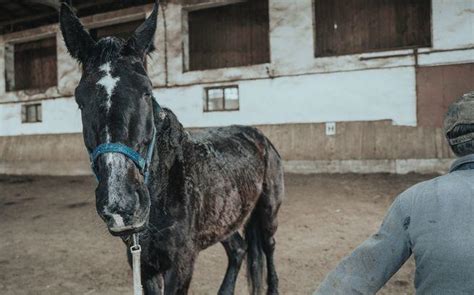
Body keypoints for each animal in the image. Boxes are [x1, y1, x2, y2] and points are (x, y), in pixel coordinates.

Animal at [58, 1, 282, 294]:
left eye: (146, 90)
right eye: (79, 99)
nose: (121, 203)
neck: (166, 184)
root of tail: (259, 137)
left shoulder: (181, 263)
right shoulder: (143, 263)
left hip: (268, 211)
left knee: (268, 249)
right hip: (225, 217)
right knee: (238, 249)